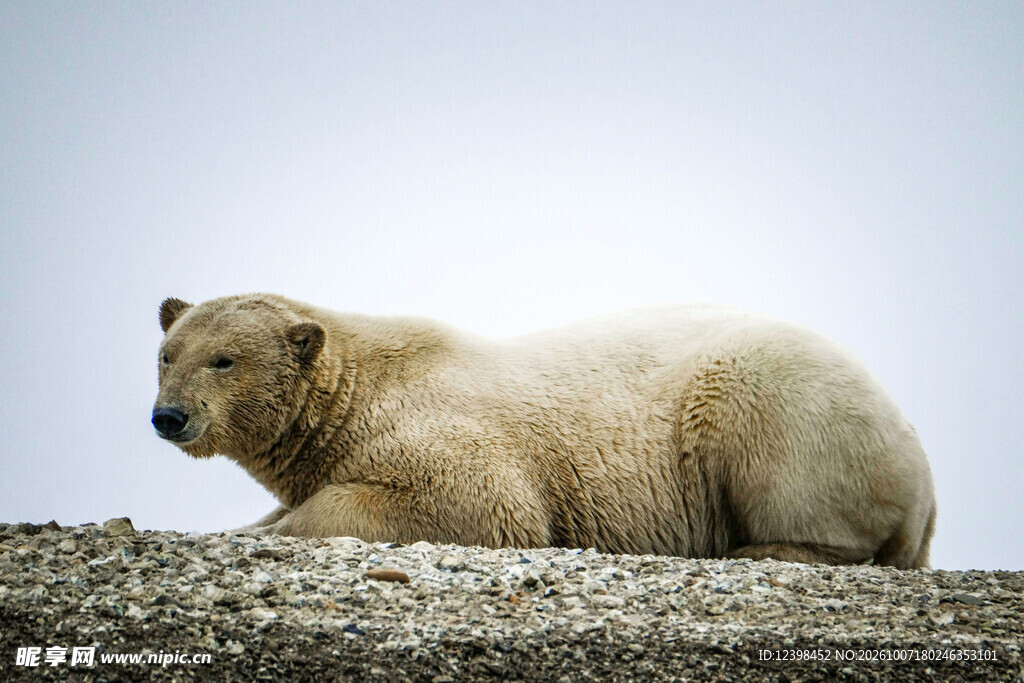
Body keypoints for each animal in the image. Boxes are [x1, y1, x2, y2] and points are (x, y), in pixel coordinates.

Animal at [152, 293, 936, 568]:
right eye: (168, 353)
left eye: (224, 359)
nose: (169, 416)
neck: (358, 388)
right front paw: (243, 524)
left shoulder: (443, 431)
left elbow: (480, 503)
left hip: (777, 398)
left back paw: (764, 546)